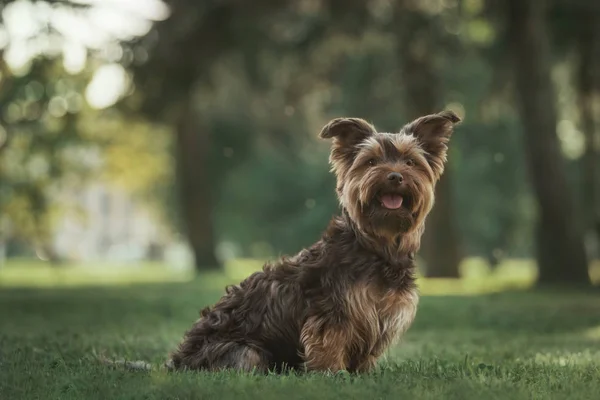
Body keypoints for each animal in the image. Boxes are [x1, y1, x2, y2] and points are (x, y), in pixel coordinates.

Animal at [171, 109, 462, 372]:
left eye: (410, 162)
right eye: (370, 162)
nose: (394, 175)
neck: (379, 245)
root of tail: (175, 362)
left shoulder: (382, 314)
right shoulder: (334, 310)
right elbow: (329, 342)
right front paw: (331, 374)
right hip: (244, 351)